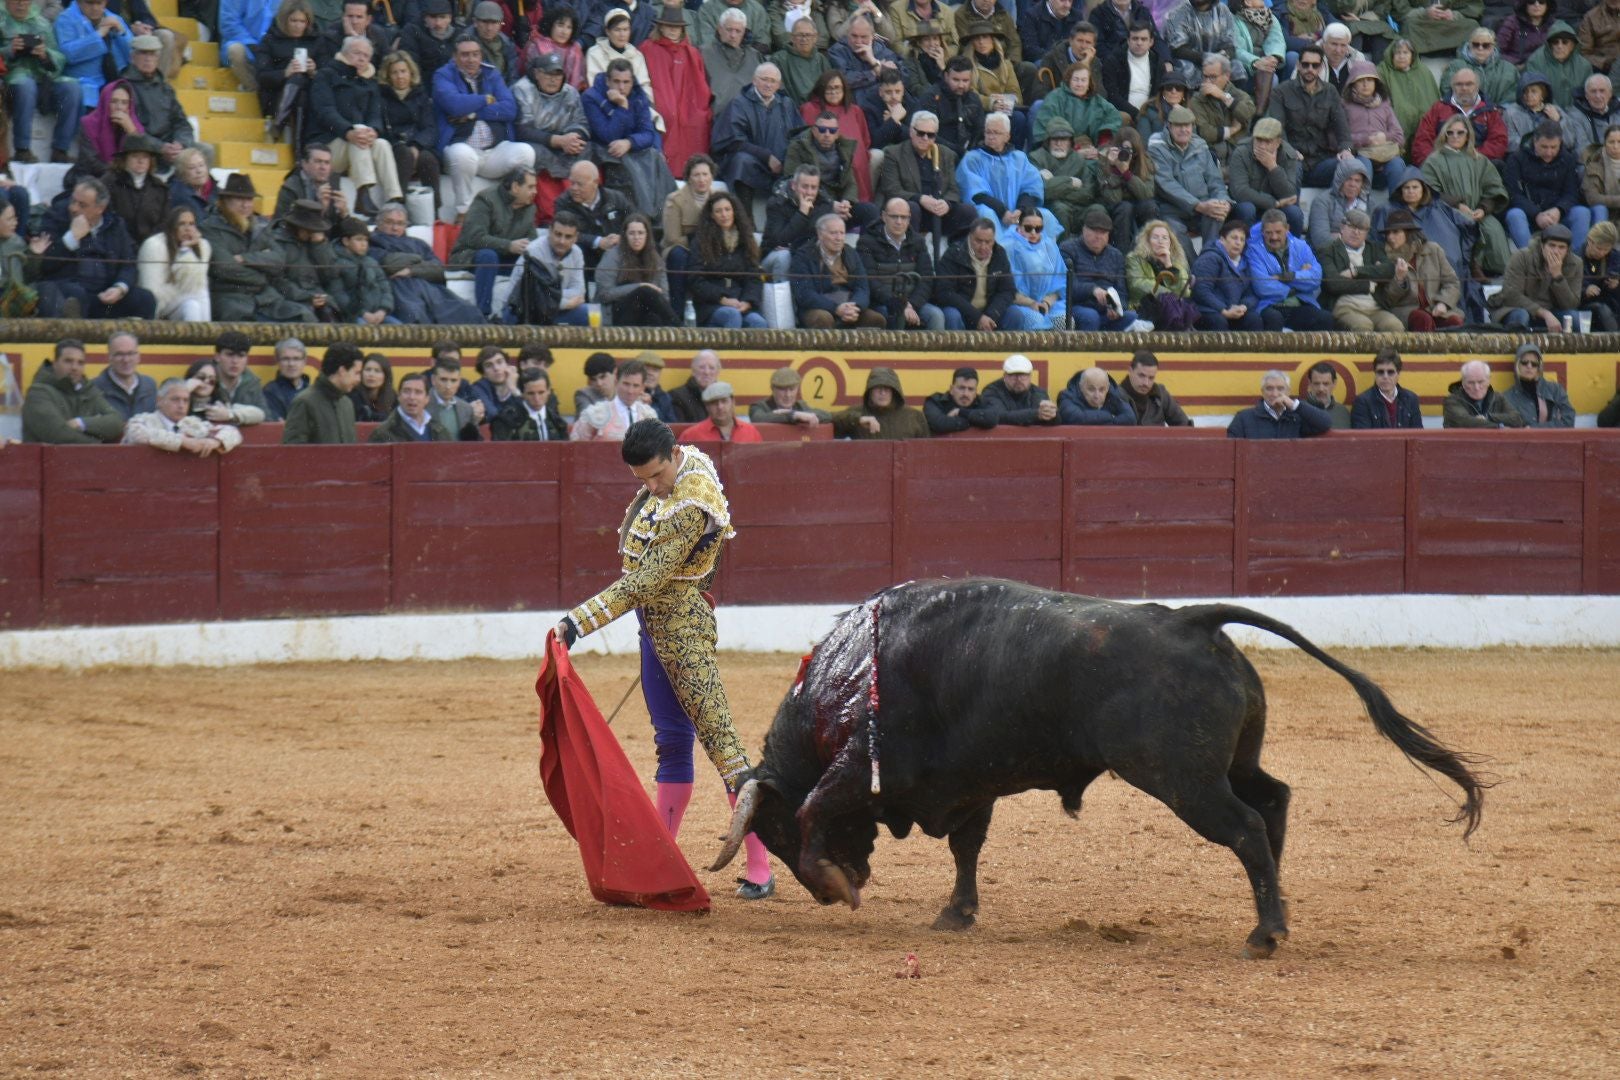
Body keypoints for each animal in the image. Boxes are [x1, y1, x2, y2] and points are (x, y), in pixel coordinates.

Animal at [716, 579, 1483, 958]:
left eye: (773, 836)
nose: (839, 887)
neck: (840, 681)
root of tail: (1191, 621)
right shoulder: (971, 784)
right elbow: (967, 848)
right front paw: (956, 913)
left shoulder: (862, 768)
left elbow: (817, 804)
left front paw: (830, 878)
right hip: (1230, 764)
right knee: (1274, 801)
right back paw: (1279, 908)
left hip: (1184, 781)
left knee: (1244, 827)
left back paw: (1264, 932)